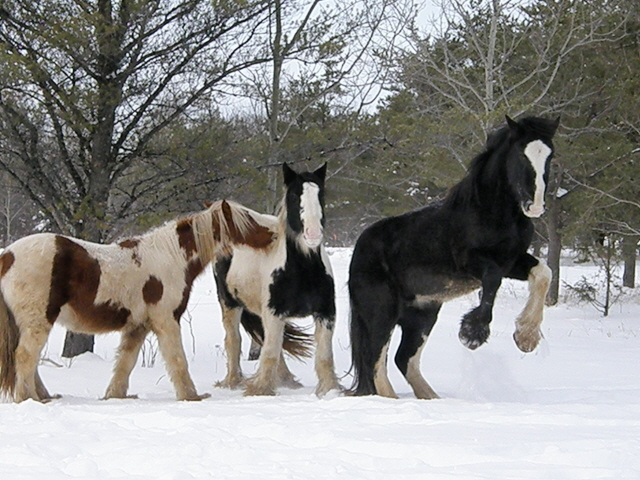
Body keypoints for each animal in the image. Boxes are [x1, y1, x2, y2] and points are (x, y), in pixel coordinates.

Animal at [0, 201, 272, 404]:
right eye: (247, 218)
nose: (273, 233)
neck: (170, 257)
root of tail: (7, 256)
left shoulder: (138, 327)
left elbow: (125, 362)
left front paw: (115, 396)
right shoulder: (166, 321)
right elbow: (177, 360)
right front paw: (191, 396)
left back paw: (44, 396)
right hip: (38, 321)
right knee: (25, 357)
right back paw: (28, 398)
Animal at [214, 163, 342, 396]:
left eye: (321, 194)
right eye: (293, 195)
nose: (312, 234)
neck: (303, 270)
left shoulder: (326, 314)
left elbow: (324, 356)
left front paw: (329, 390)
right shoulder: (273, 313)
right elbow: (270, 351)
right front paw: (260, 389)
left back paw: (286, 380)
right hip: (230, 303)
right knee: (233, 340)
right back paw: (232, 381)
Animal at [350, 115, 560, 398]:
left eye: (550, 155)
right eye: (520, 154)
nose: (534, 206)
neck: (490, 211)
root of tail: (361, 245)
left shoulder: (512, 261)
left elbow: (544, 273)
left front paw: (526, 338)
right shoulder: (472, 263)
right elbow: (492, 281)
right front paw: (472, 334)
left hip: (421, 315)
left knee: (403, 359)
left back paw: (432, 399)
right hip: (381, 312)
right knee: (375, 360)